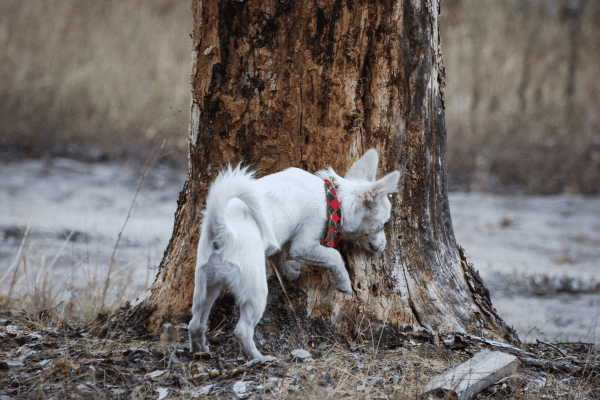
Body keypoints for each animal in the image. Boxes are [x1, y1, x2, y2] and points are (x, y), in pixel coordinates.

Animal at [190, 149, 400, 360]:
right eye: (384, 224)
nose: (383, 247)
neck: (333, 197)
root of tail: (221, 230)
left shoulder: (280, 244)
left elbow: (279, 259)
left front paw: (289, 274)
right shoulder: (303, 245)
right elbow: (333, 255)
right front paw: (344, 283)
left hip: (206, 288)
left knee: (195, 323)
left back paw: (201, 351)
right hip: (255, 291)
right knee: (241, 330)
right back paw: (259, 358)